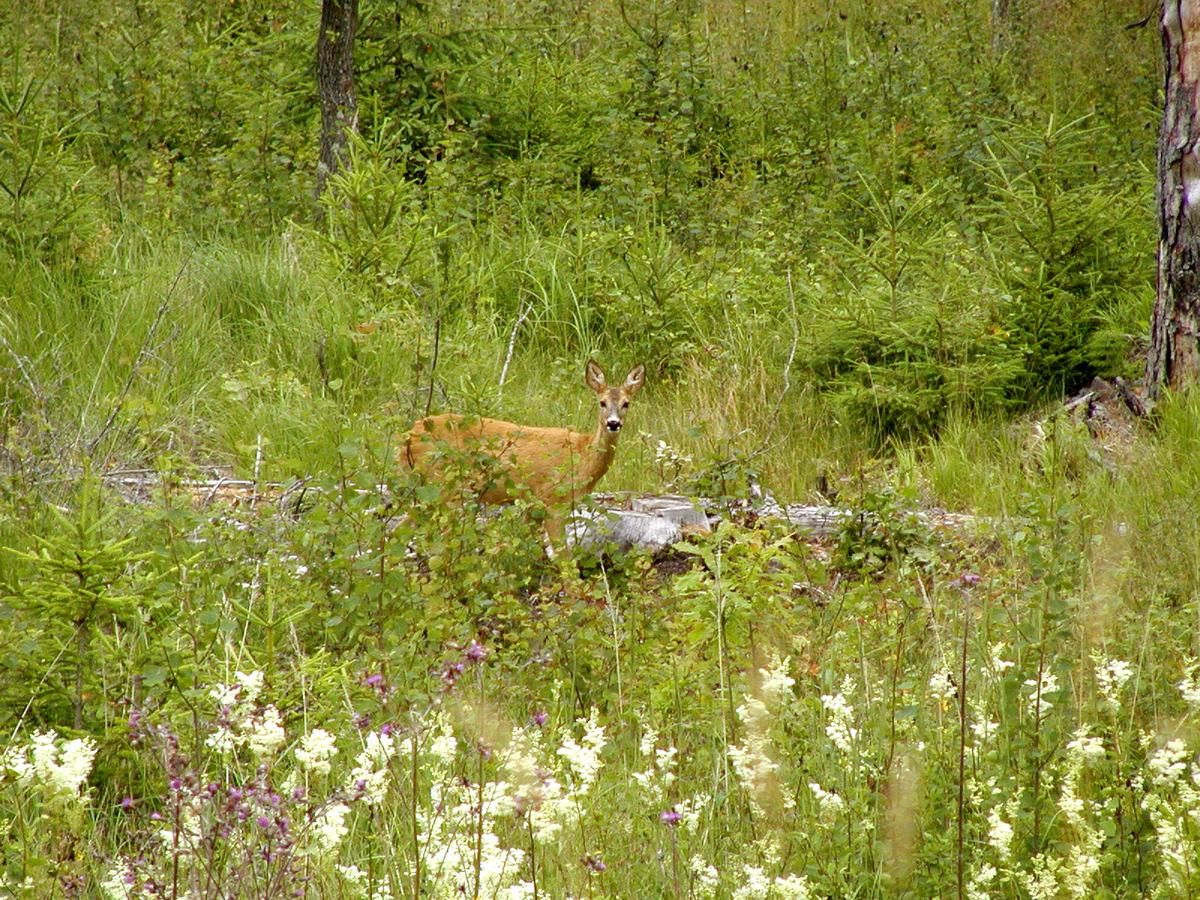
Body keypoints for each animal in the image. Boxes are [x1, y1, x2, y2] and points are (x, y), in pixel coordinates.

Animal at [400, 360, 648, 542]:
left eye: (626, 403)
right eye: (602, 402)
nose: (613, 423)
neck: (582, 456)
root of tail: (409, 435)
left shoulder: (532, 502)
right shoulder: (552, 498)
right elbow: (563, 557)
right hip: (442, 483)